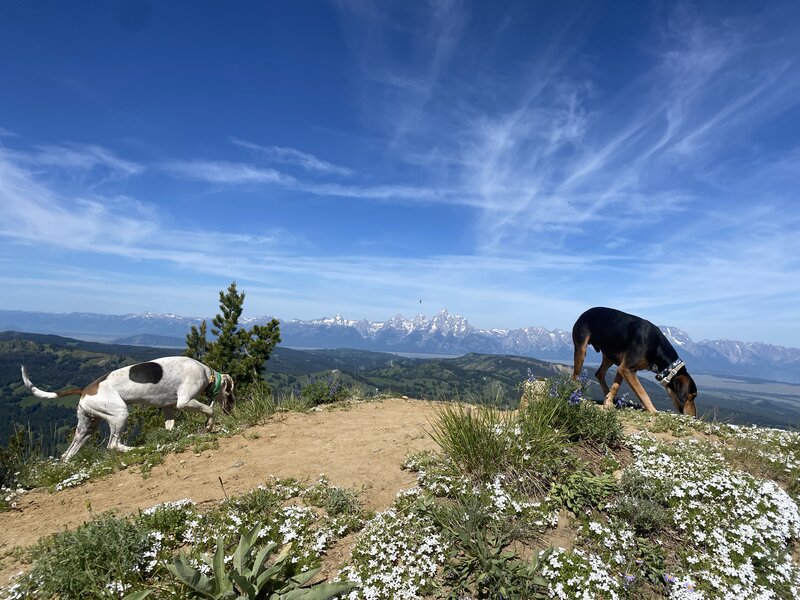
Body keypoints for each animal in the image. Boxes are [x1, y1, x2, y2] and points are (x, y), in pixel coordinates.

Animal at [21, 358, 234, 462]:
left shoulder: (167, 408)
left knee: (67, 455)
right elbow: (209, 410)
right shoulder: (184, 401)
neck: (207, 375)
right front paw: (209, 425)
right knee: (114, 445)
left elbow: (170, 426)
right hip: (120, 414)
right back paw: (138, 449)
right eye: (231, 392)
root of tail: (84, 390)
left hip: (86, 429)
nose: (232, 409)